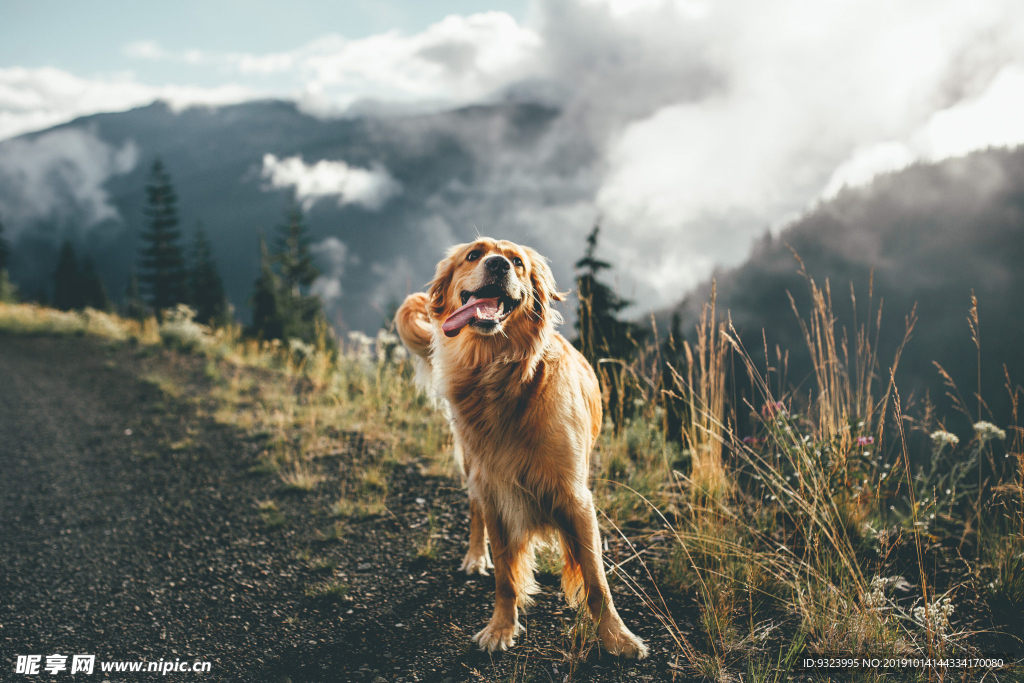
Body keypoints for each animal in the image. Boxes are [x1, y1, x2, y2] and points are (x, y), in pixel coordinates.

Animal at [393, 236, 643, 655]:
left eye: (519, 262)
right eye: (473, 255)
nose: (498, 265)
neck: (503, 377)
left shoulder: (575, 496)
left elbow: (596, 579)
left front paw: (617, 637)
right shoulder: (495, 492)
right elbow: (506, 576)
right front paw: (501, 628)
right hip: (472, 467)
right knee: (474, 513)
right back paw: (475, 557)